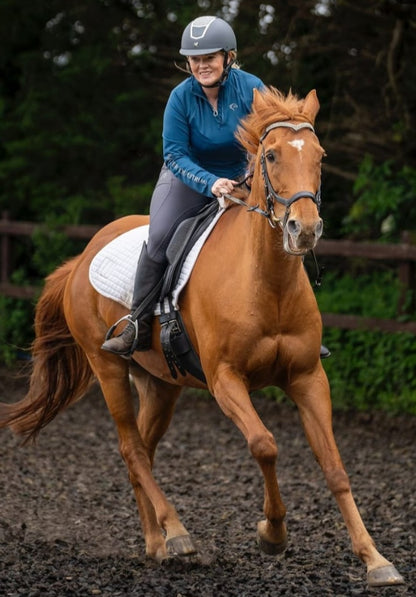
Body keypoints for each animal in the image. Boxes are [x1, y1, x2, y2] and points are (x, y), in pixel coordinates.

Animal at [0, 89, 404, 588]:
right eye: (272, 155)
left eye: (320, 156)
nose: (304, 229)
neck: (266, 281)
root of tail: (79, 259)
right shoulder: (225, 380)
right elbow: (264, 444)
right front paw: (272, 535)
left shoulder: (309, 378)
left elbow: (335, 467)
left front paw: (375, 560)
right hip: (108, 367)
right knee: (131, 448)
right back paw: (177, 534)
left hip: (160, 385)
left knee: (142, 453)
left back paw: (156, 544)